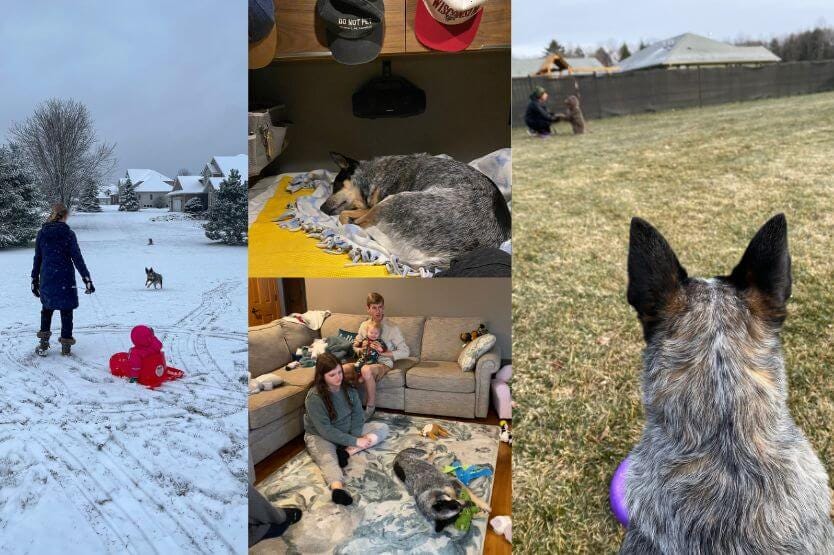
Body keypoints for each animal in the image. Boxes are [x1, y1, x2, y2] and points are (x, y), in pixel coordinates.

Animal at [322, 152, 510, 270]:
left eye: (336, 186)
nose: (321, 208)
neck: (373, 174)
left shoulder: (374, 204)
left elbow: (347, 214)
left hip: (395, 200)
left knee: (360, 222)